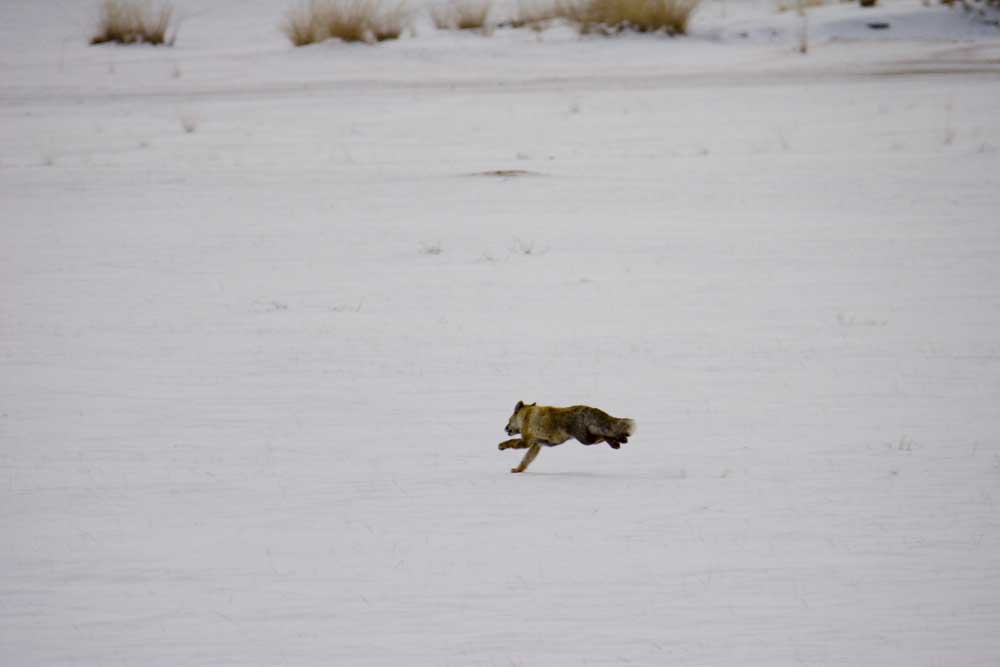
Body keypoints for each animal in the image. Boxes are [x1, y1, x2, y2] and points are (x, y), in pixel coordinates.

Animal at [498, 402, 636, 474]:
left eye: (509, 420)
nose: (505, 428)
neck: (527, 416)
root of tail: (589, 409)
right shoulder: (537, 444)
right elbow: (526, 460)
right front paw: (518, 470)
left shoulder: (527, 441)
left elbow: (511, 442)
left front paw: (501, 446)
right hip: (588, 438)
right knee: (607, 434)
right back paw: (621, 441)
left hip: (586, 440)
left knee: (604, 435)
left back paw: (619, 440)